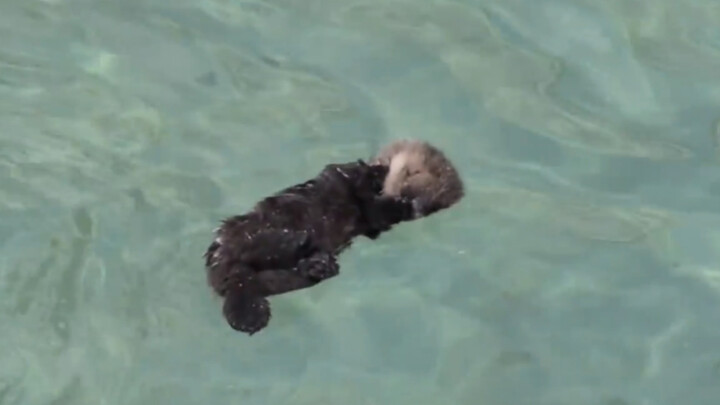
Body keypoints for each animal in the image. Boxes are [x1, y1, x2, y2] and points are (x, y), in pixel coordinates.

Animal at [204, 140, 463, 335]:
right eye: (412, 172)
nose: (412, 201)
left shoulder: (378, 220)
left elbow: (378, 215)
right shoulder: (350, 176)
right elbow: (354, 177)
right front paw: (374, 174)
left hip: (273, 278)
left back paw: (316, 263)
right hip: (247, 233)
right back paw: (301, 244)